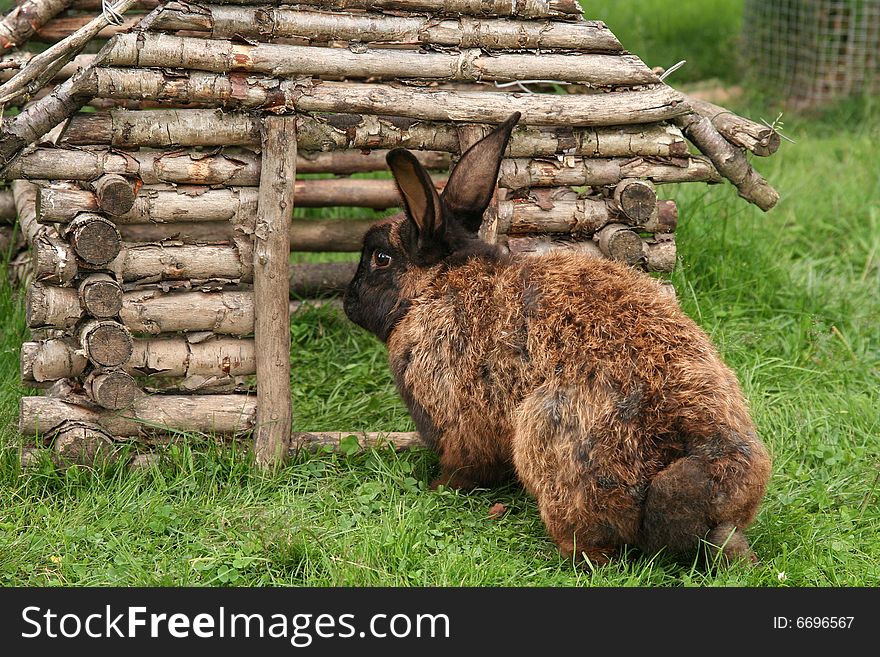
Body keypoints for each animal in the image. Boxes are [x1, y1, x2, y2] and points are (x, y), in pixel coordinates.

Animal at [344, 113, 768, 564]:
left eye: (380, 258)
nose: (347, 301)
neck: (435, 286)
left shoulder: (457, 419)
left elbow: (465, 464)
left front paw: (437, 487)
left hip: (551, 435)